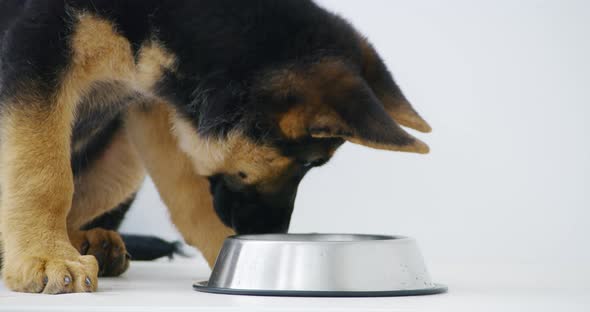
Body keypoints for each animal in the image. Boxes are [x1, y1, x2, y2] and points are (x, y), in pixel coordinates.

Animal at [0, 0, 432, 294]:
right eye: (311, 162)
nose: (271, 233)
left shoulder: (158, 100)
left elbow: (190, 195)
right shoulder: (39, 46)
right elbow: (42, 172)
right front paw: (47, 256)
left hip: (124, 157)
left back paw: (94, 242)